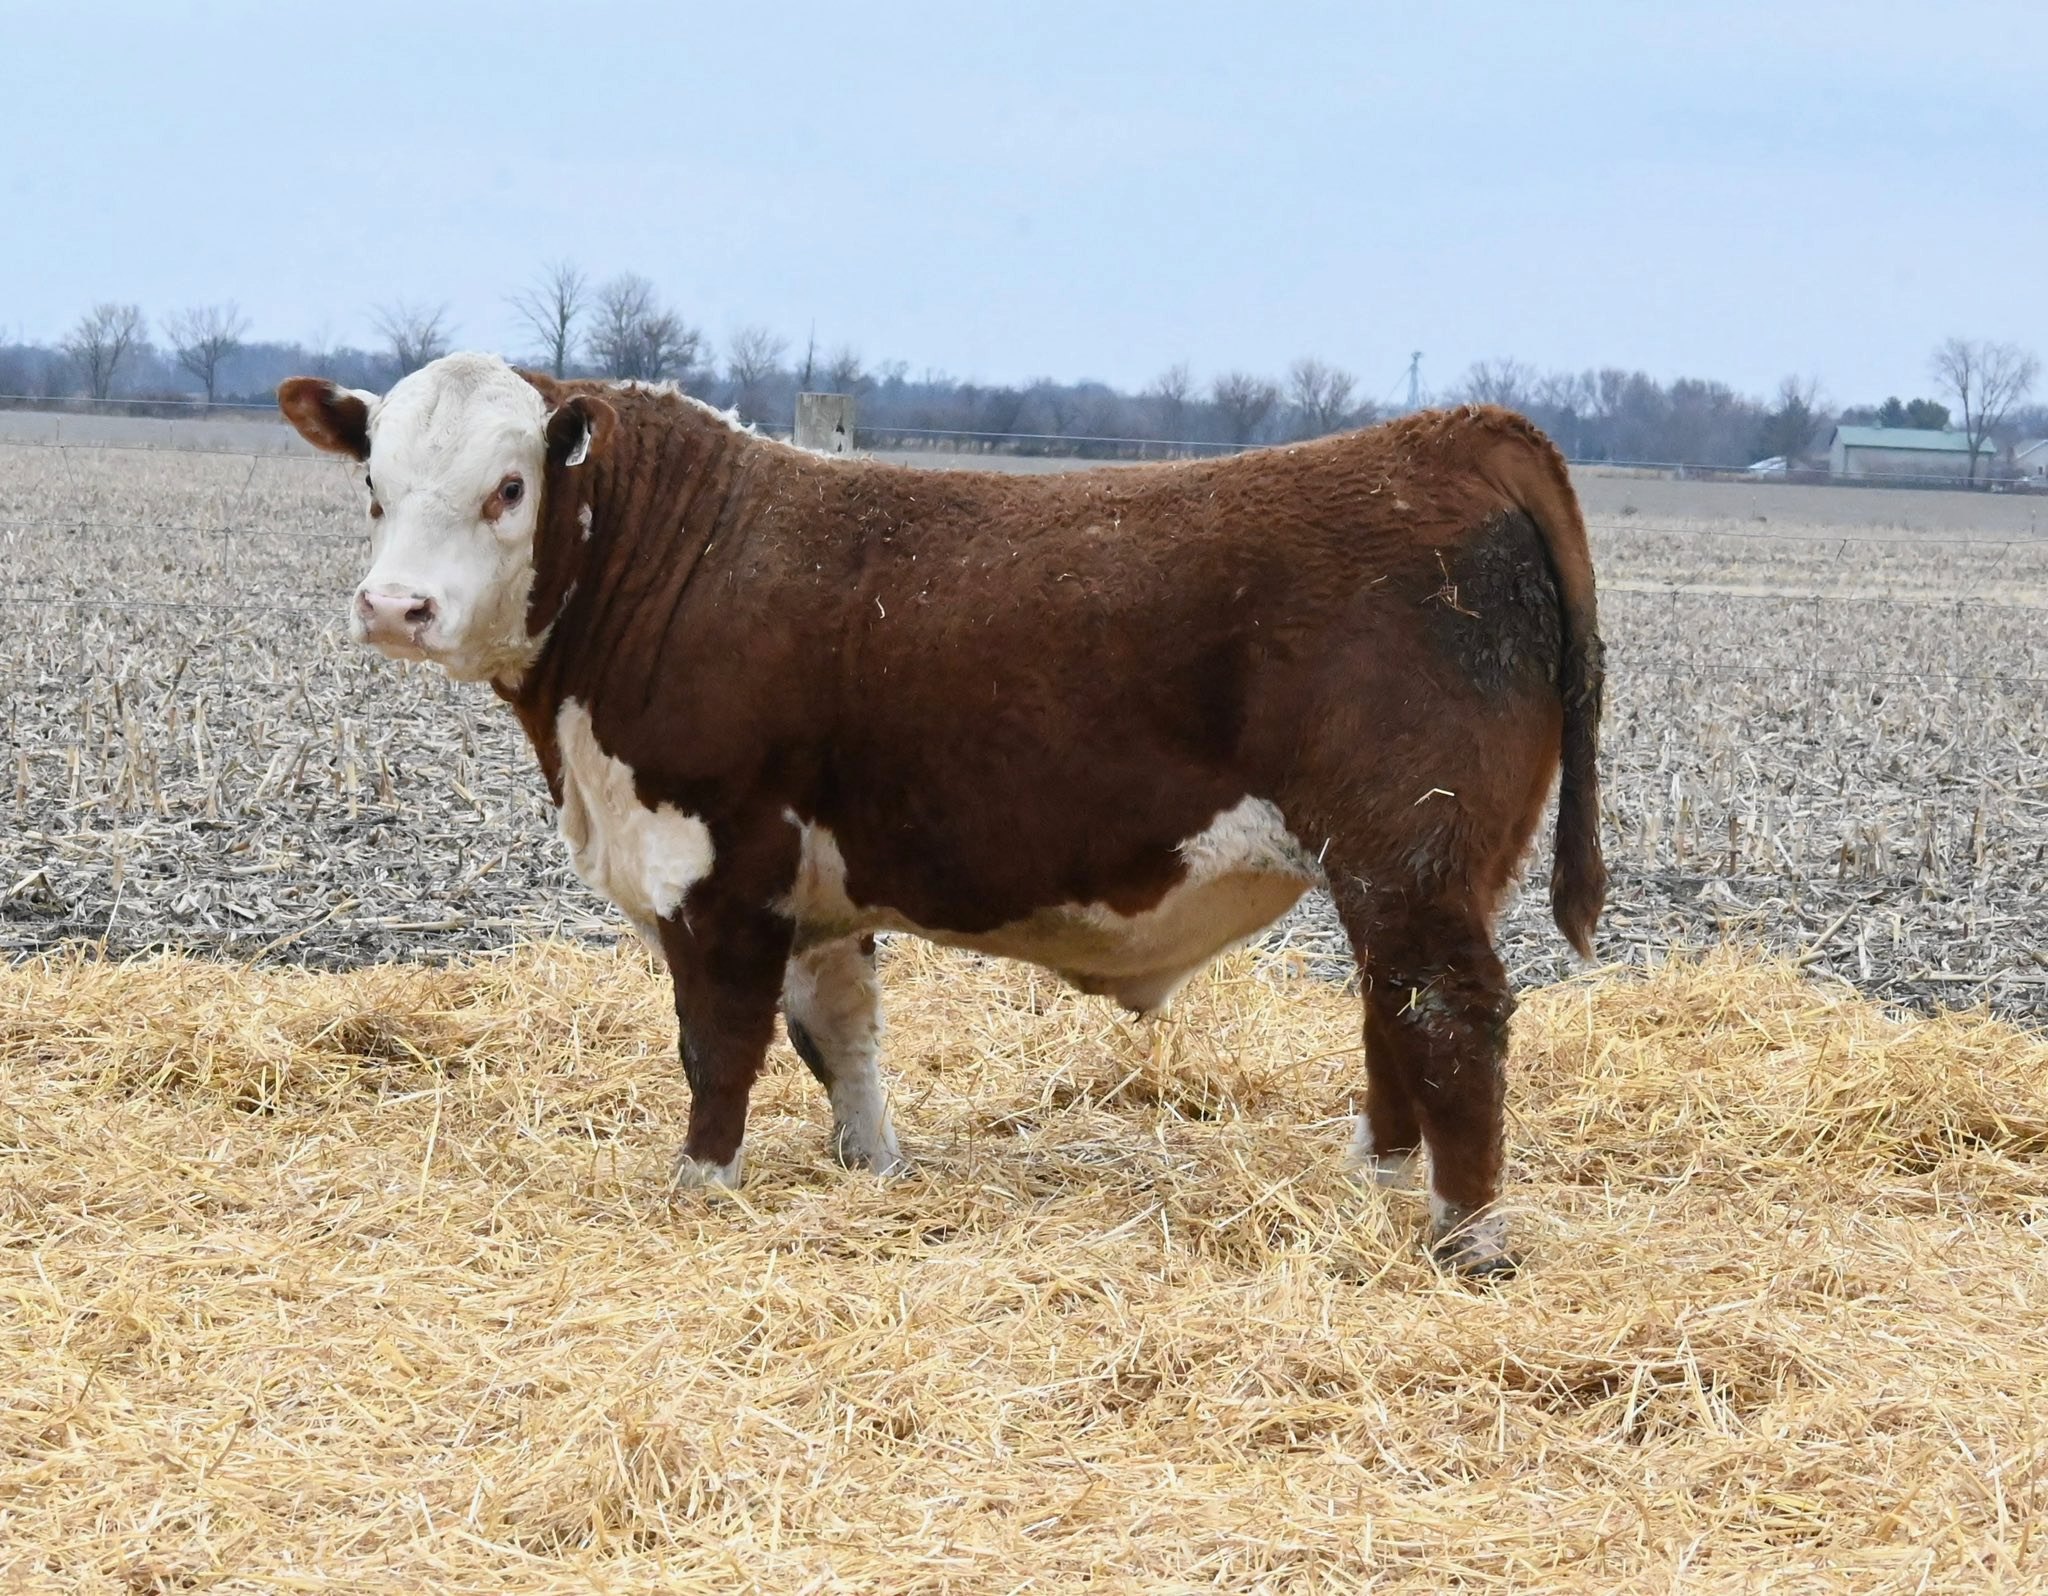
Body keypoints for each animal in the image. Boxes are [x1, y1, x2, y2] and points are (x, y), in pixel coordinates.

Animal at [278, 353, 1604, 1275]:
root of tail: (1455, 434)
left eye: (508, 488)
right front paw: (874, 1168)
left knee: (1451, 1015)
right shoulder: (814, 885)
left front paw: (701, 1187)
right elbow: (840, 1034)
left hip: (1407, 849)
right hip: (1417, 868)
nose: (394, 608)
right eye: (372, 488)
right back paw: (1373, 1181)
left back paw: (1464, 1236)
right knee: (1395, 1009)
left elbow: (720, 1044)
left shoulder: (719, 865)